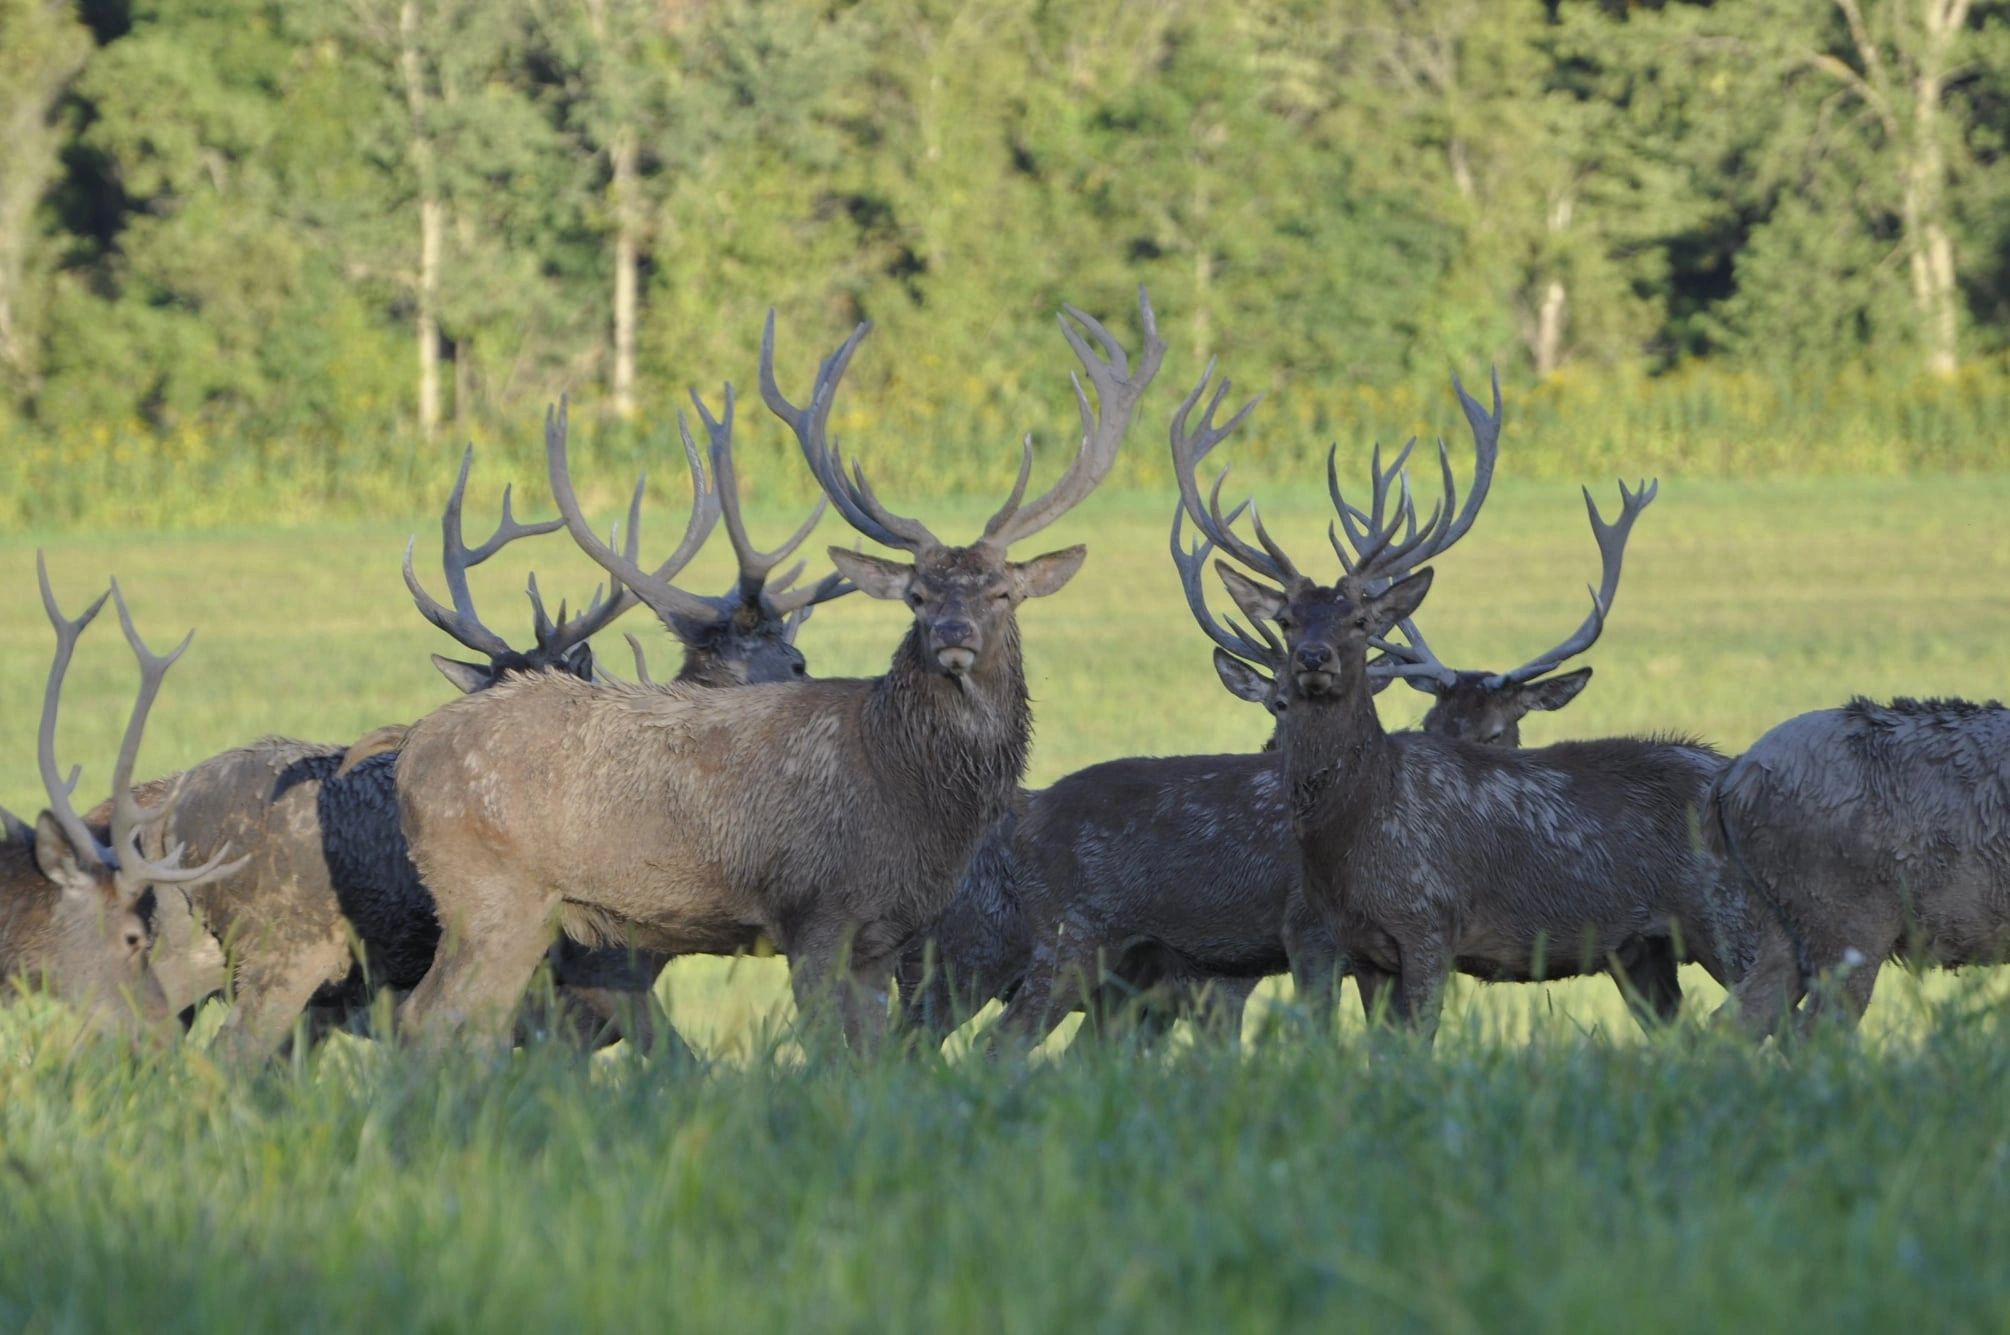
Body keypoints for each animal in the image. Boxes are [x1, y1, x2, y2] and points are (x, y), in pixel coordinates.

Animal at [393, 290, 1164, 1050]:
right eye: (917, 595)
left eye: (1002, 591)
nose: (953, 635)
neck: (907, 785)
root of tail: (410, 756)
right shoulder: (815, 908)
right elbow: (825, 1049)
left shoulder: (884, 935)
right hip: (491, 895)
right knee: (433, 1019)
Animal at [1178, 366, 1769, 1041]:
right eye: (1285, 620)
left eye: (1360, 620)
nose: (1312, 659)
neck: (1355, 837)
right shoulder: (1360, 948)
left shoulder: (1429, 924)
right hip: (1643, 951)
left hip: (1731, 919)